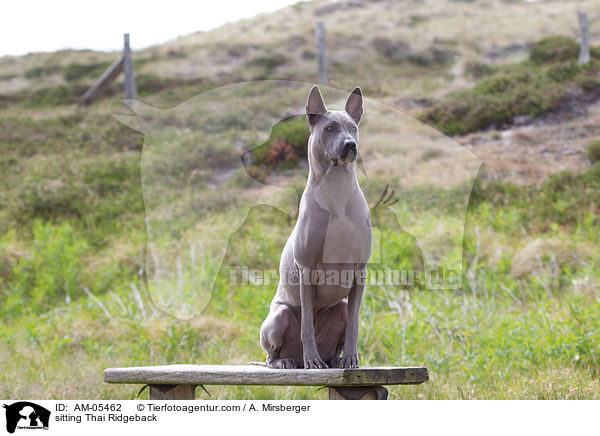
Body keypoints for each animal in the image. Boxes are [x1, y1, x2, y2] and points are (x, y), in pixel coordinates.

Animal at [260, 87, 372, 370]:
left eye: (353, 128)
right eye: (330, 128)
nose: (350, 145)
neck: (337, 192)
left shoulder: (360, 273)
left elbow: (355, 325)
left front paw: (352, 359)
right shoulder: (307, 272)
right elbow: (307, 325)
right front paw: (313, 360)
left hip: (340, 308)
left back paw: (334, 359)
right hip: (279, 316)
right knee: (271, 353)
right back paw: (290, 361)